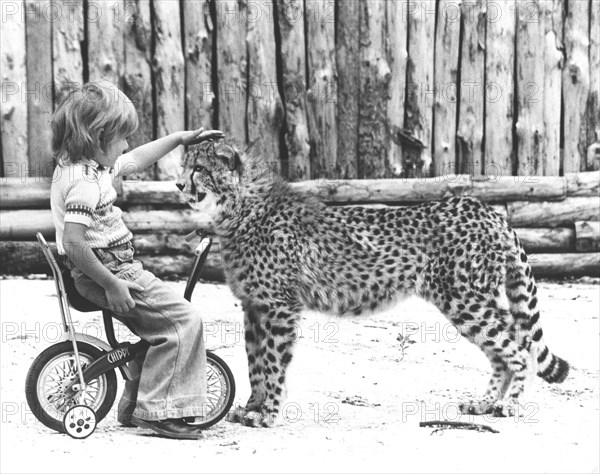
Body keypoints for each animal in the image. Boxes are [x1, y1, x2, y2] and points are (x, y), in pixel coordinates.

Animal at [176, 139, 568, 428]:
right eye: (184, 165)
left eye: (199, 169)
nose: (178, 184)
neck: (240, 209)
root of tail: (483, 207)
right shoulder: (254, 307)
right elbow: (255, 362)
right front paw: (252, 407)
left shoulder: (278, 307)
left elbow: (272, 362)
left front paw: (268, 412)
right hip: (474, 301)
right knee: (505, 347)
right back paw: (484, 403)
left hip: (466, 300)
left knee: (518, 349)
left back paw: (510, 405)